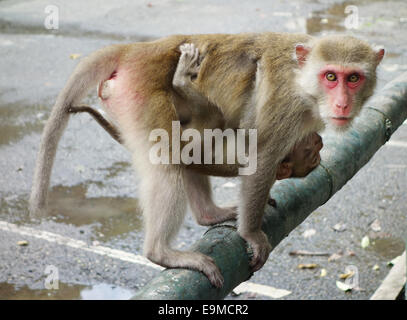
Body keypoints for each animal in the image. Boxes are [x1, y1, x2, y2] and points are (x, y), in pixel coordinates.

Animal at [30, 32, 384, 288]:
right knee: (169, 160)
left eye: (353, 78)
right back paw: (161, 252)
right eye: (331, 77)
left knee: (185, 155)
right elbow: (260, 159)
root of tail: (138, 50)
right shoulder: (285, 107)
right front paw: (252, 234)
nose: (342, 104)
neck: (303, 82)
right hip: (142, 94)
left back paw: (210, 214)